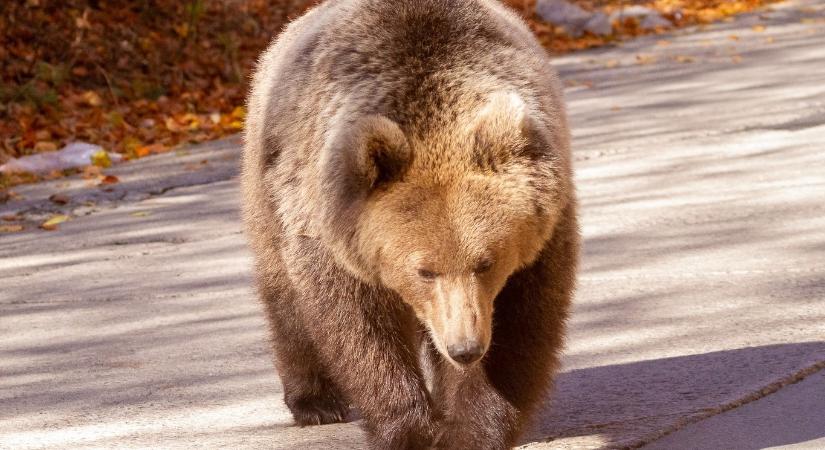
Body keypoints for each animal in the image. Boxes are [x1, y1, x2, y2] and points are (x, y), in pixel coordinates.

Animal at [240, 1, 580, 448]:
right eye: (424, 270)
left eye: (486, 263)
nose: (465, 347)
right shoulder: (333, 233)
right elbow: (359, 328)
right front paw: (408, 429)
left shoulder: (540, 235)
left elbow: (520, 323)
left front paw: (469, 429)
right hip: (269, 188)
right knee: (285, 296)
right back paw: (314, 401)